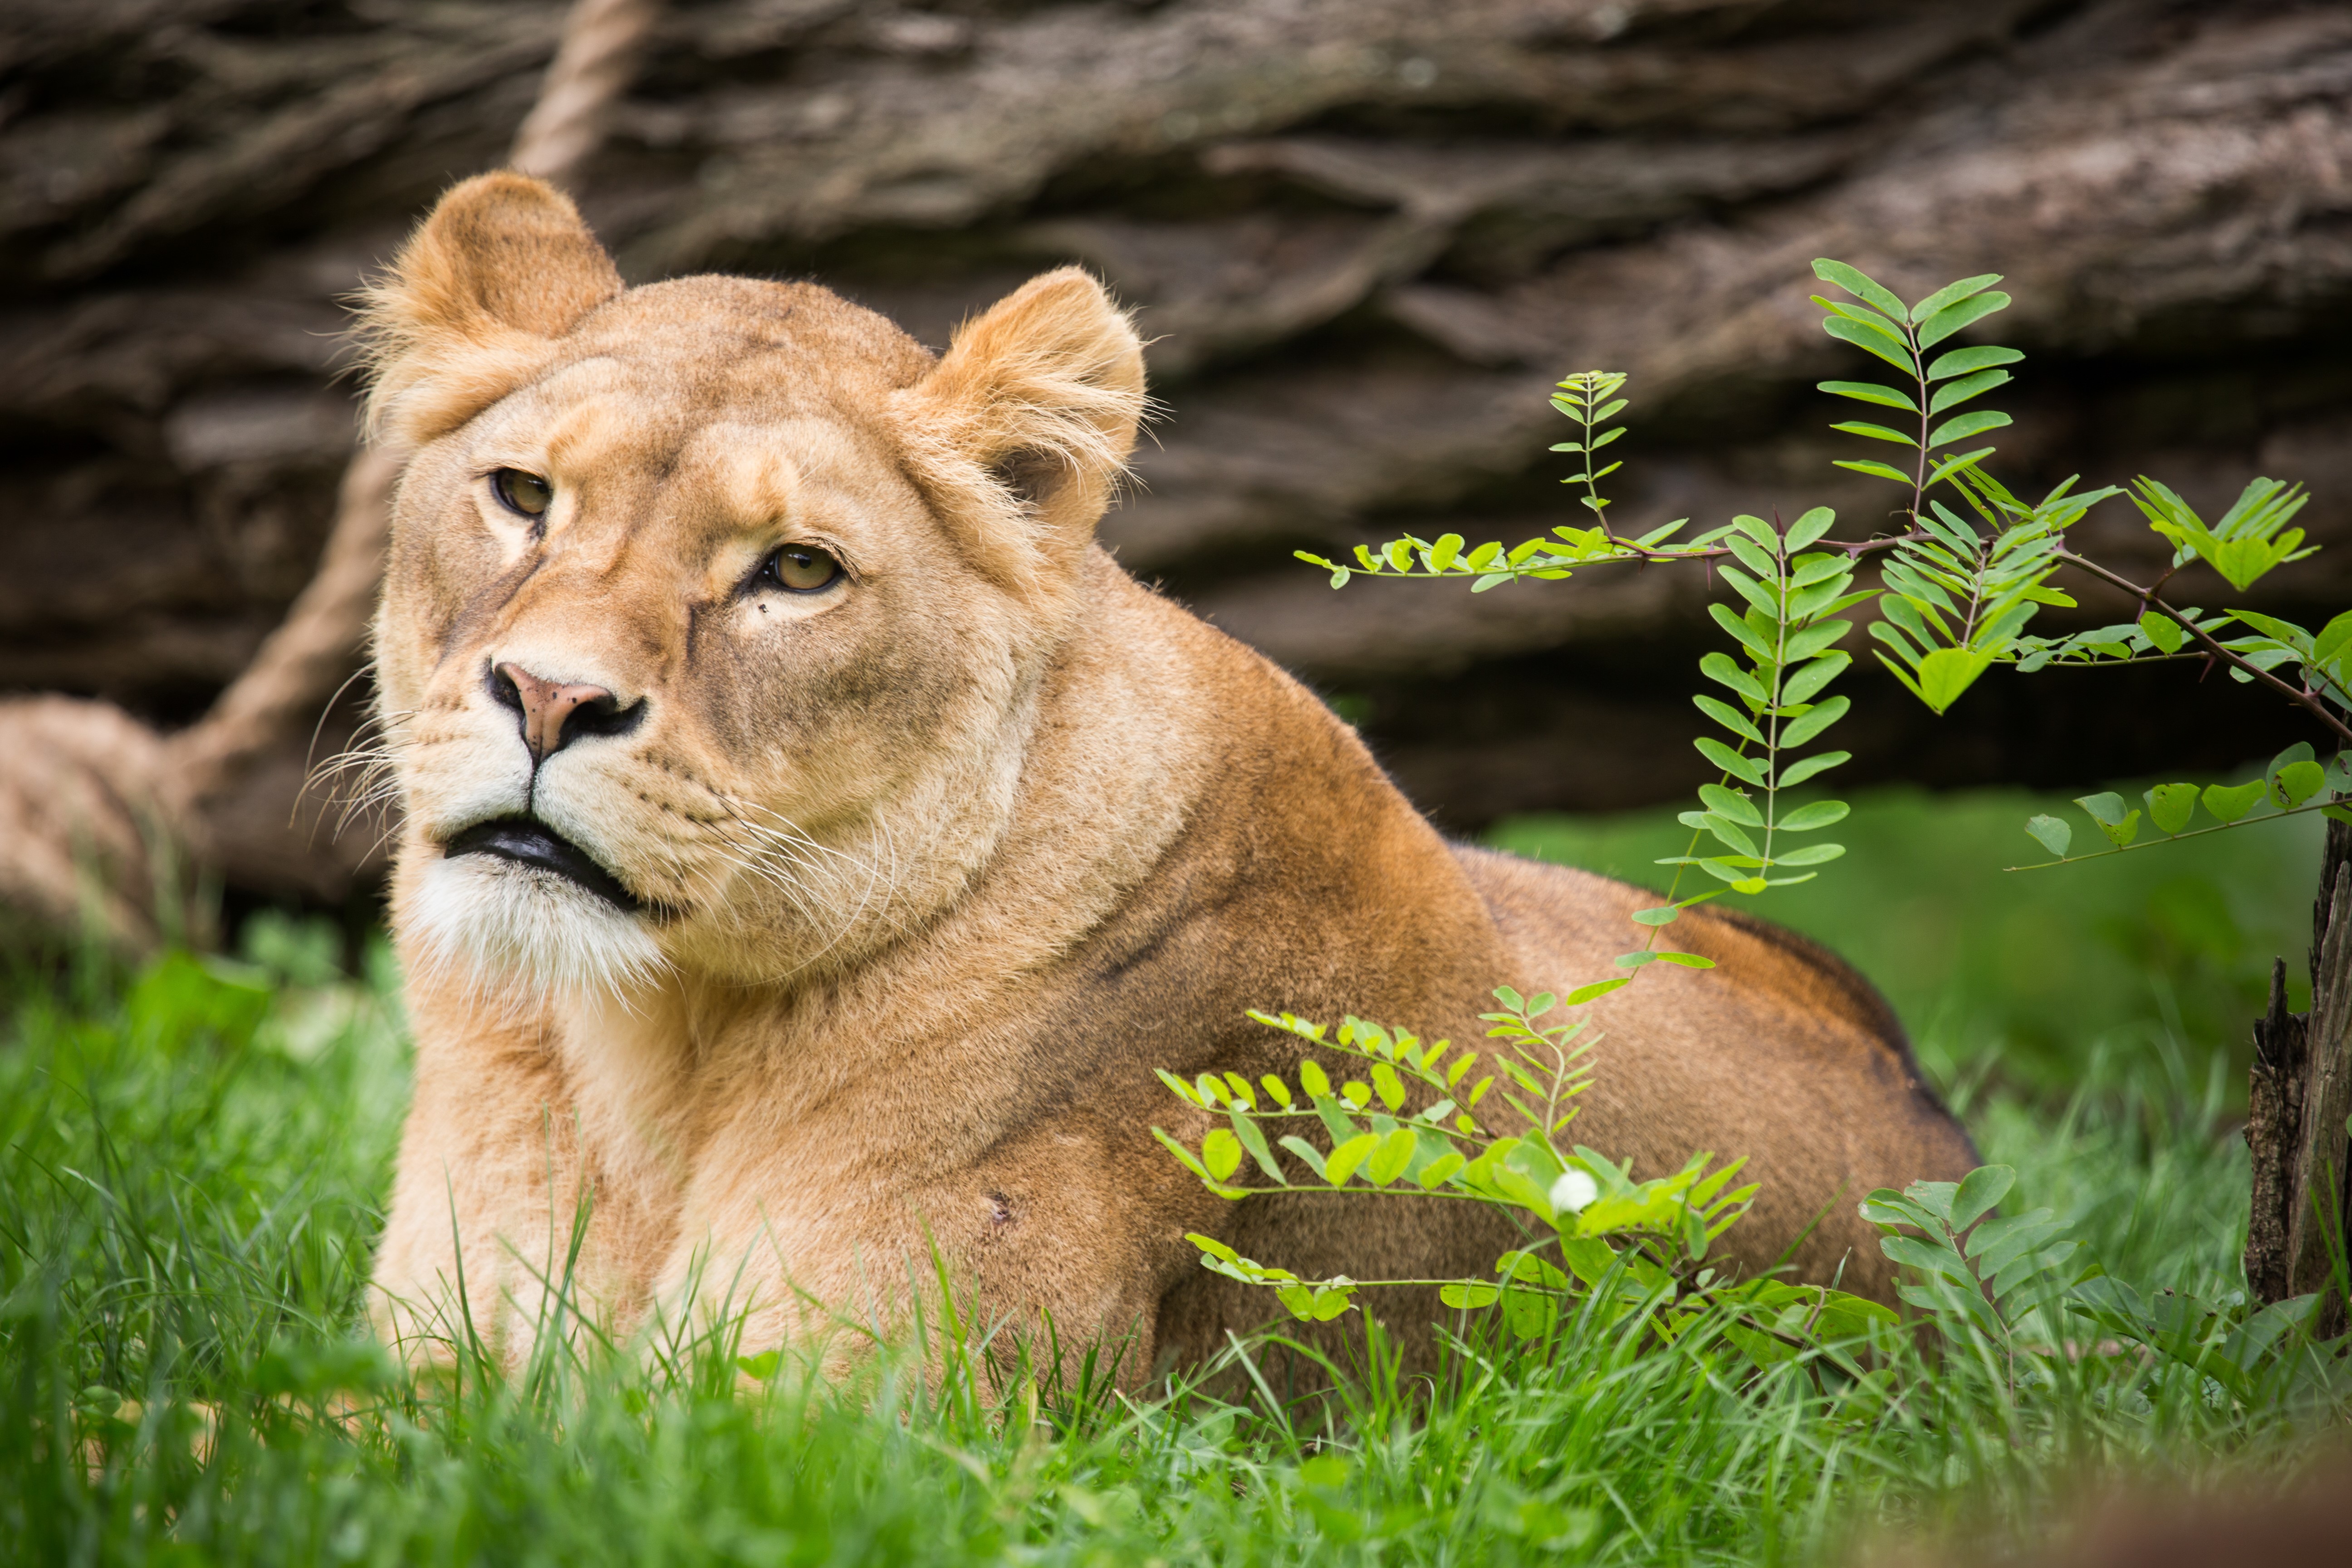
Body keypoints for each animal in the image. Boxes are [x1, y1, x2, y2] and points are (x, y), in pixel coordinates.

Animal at [361, 172, 1975, 1374]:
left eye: (799, 573)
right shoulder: (434, 1371)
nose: (551, 697)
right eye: (521, 495)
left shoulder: (853, 1428)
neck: (650, 1053)